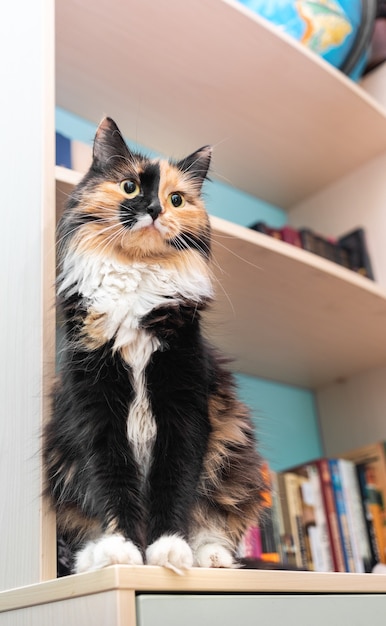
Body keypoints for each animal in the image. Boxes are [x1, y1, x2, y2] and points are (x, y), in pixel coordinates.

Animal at [44, 114, 268, 572]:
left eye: (177, 199)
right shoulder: (97, 409)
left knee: (216, 523)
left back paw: (209, 558)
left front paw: (168, 550)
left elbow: (175, 483)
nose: (155, 209)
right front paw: (124, 551)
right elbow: (112, 484)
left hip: (234, 460)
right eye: (130, 186)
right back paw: (95, 557)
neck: (135, 281)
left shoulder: (183, 404)